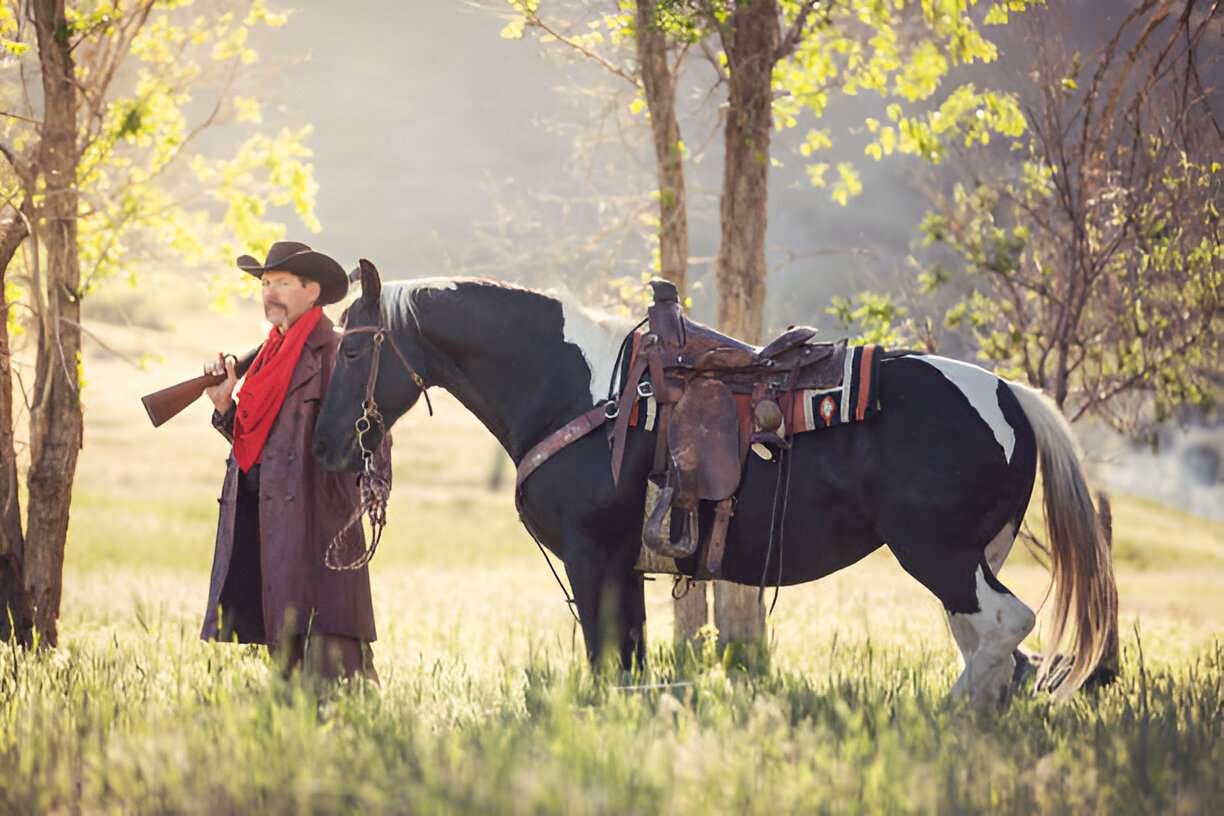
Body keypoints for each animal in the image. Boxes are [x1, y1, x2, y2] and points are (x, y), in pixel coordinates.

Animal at [315, 266, 1121, 709]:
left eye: (351, 349)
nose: (323, 445)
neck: (582, 389)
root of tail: (1012, 394)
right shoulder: (623, 564)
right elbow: (628, 661)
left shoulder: (593, 555)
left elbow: (607, 658)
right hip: (973, 555)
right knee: (991, 647)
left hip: (939, 552)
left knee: (1005, 627)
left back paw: (945, 718)